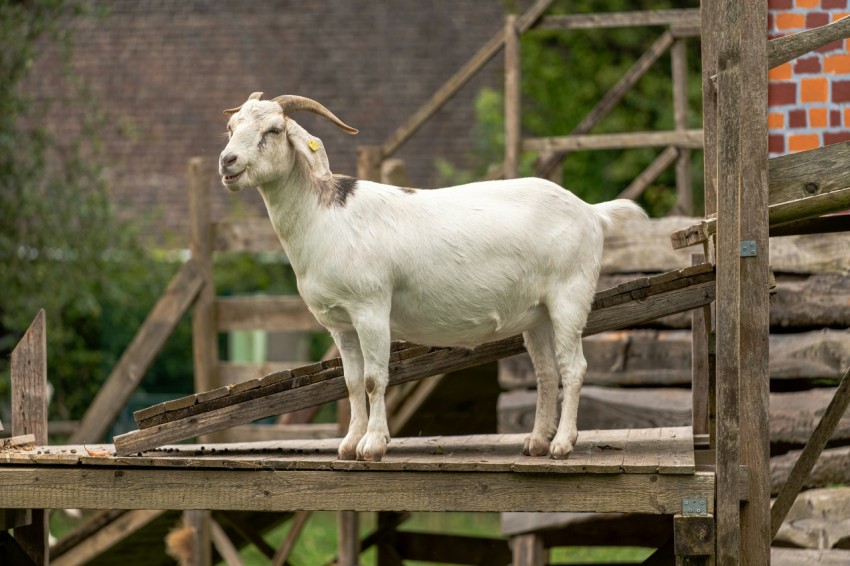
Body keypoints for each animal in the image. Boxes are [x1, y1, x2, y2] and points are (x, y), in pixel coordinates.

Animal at [219, 93, 644, 464]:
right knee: (546, 371)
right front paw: (349, 444)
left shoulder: (371, 308)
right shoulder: (340, 323)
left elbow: (374, 379)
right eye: (230, 127)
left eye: (274, 129)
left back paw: (562, 444)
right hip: (538, 314)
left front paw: (372, 446)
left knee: (574, 367)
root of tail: (592, 212)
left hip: (569, 297)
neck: (325, 217)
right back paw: (537, 442)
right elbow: (352, 382)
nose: (227, 161)